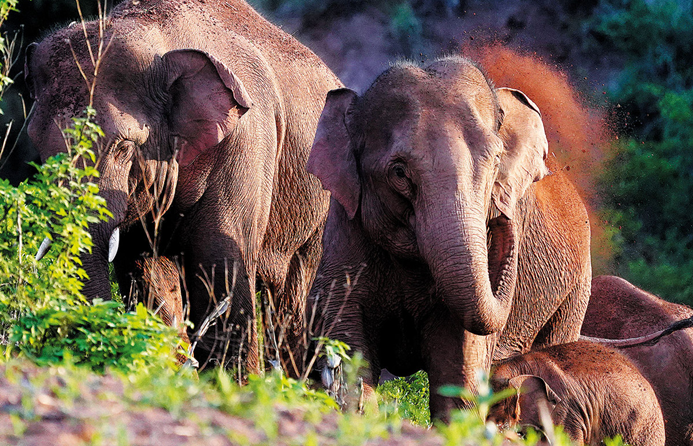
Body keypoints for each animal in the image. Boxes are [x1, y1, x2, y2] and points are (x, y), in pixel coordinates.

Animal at [25, 0, 340, 376]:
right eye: (37, 146)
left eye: (123, 148)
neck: (157, 36)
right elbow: (146, 272)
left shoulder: (245, 144)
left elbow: (220, 268)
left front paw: (236, 383)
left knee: (298, 293)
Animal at [306, 55, 592, 418]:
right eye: (399, 172)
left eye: (496, 161)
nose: (503, 214)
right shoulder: (344, 231)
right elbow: (348, 355)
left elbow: (459, 375)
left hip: (574, 293)